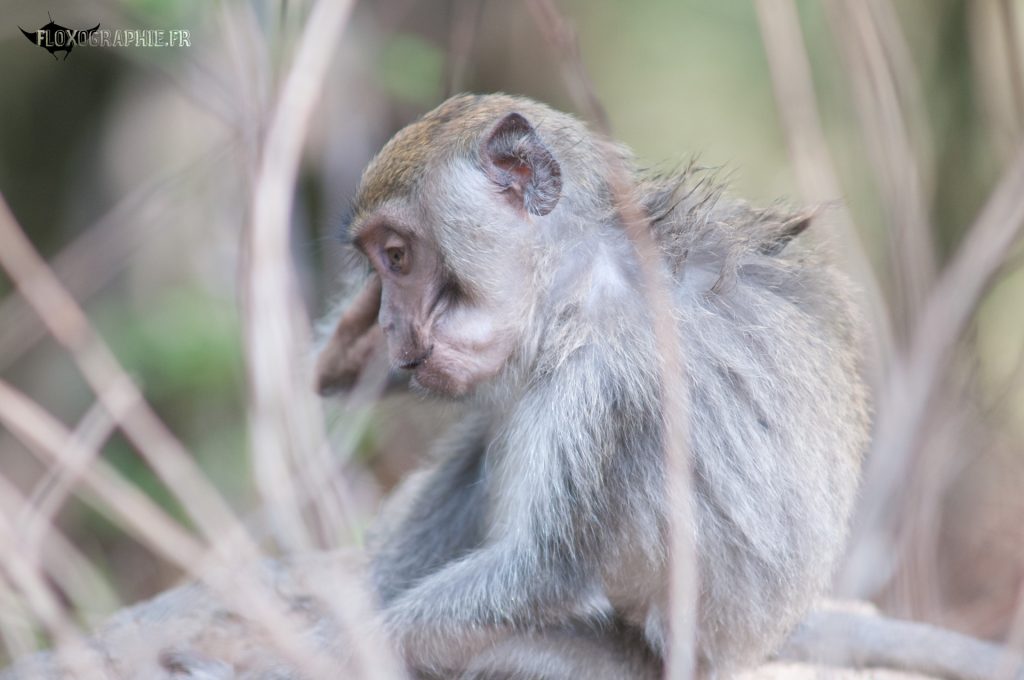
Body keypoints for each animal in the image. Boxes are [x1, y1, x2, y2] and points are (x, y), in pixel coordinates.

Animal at [314, 92, 872, 678]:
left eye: (397, 257)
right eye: (378, 266)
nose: (389, 325)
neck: (574, 279)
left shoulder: (607, 378)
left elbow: (541, 573)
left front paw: (344, 646)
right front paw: (349, 347)